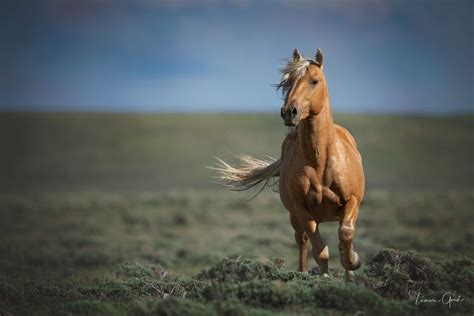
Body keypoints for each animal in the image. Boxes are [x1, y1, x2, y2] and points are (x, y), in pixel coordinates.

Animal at [213, 48, 364, 280]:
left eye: (314, 81)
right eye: (289, 81)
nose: (288, 111)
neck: (320, 161)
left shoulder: (352, 201)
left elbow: (346, 234)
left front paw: (353, 260)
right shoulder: (302, 209)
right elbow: (320, 251)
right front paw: (325, 279)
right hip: (296, 217)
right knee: (302, 242)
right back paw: (303, 272)